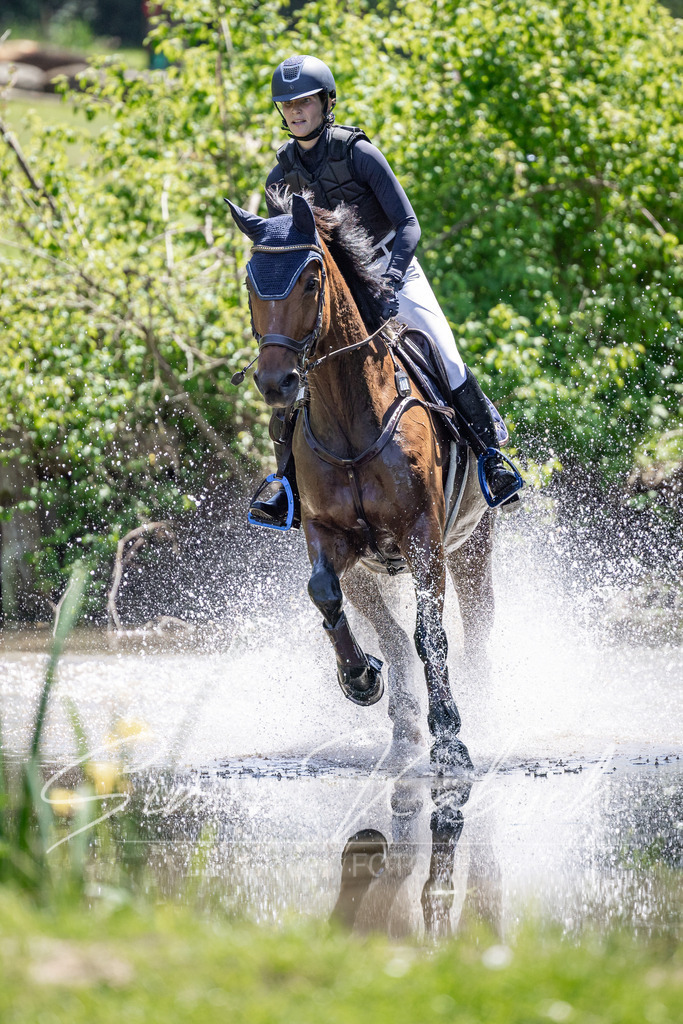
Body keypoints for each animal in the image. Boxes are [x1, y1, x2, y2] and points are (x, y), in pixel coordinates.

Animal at [228, 191, 496, 771]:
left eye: (310, 281)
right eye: (250, 282)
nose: (276, 383)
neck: (351, 419)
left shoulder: (423, 536)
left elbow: (431, 632)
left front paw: (450, 737)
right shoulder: (326, 535)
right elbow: (326, 595)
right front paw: (359, 679)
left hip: (473, 544)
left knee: (479, 624)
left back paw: (482, 704)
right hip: (370, 567)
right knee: (387, 631)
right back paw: (401, 719)